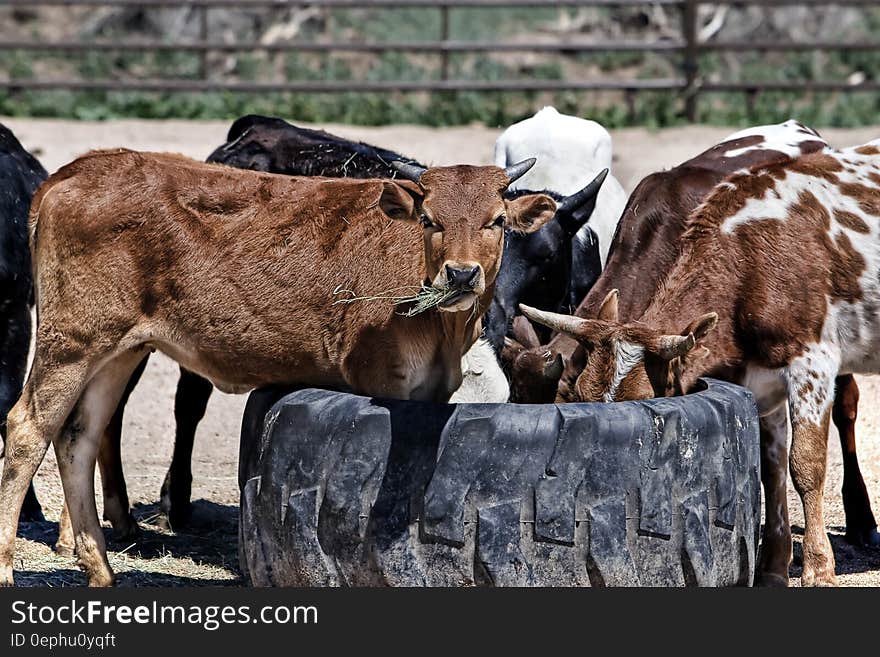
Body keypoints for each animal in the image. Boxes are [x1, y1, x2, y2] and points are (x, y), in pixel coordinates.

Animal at [0, 149, 552, 584]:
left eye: (496, 221)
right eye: (429, 219)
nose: (460, 274)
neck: (443, 329)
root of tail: (78, 170)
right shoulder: (381, 380)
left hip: (118, 350)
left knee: (80, 437)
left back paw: (100, 570)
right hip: (72, 342)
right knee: (27, 429)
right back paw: (9, 567)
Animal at [520, 141, 880, 588]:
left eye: (646, 400)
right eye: (580, 396)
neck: (749, 259)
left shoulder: (811, 363)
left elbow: (805, 465)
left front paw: (817, 566)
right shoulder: (761, 382)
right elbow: (771, 468)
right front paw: (773, 566)